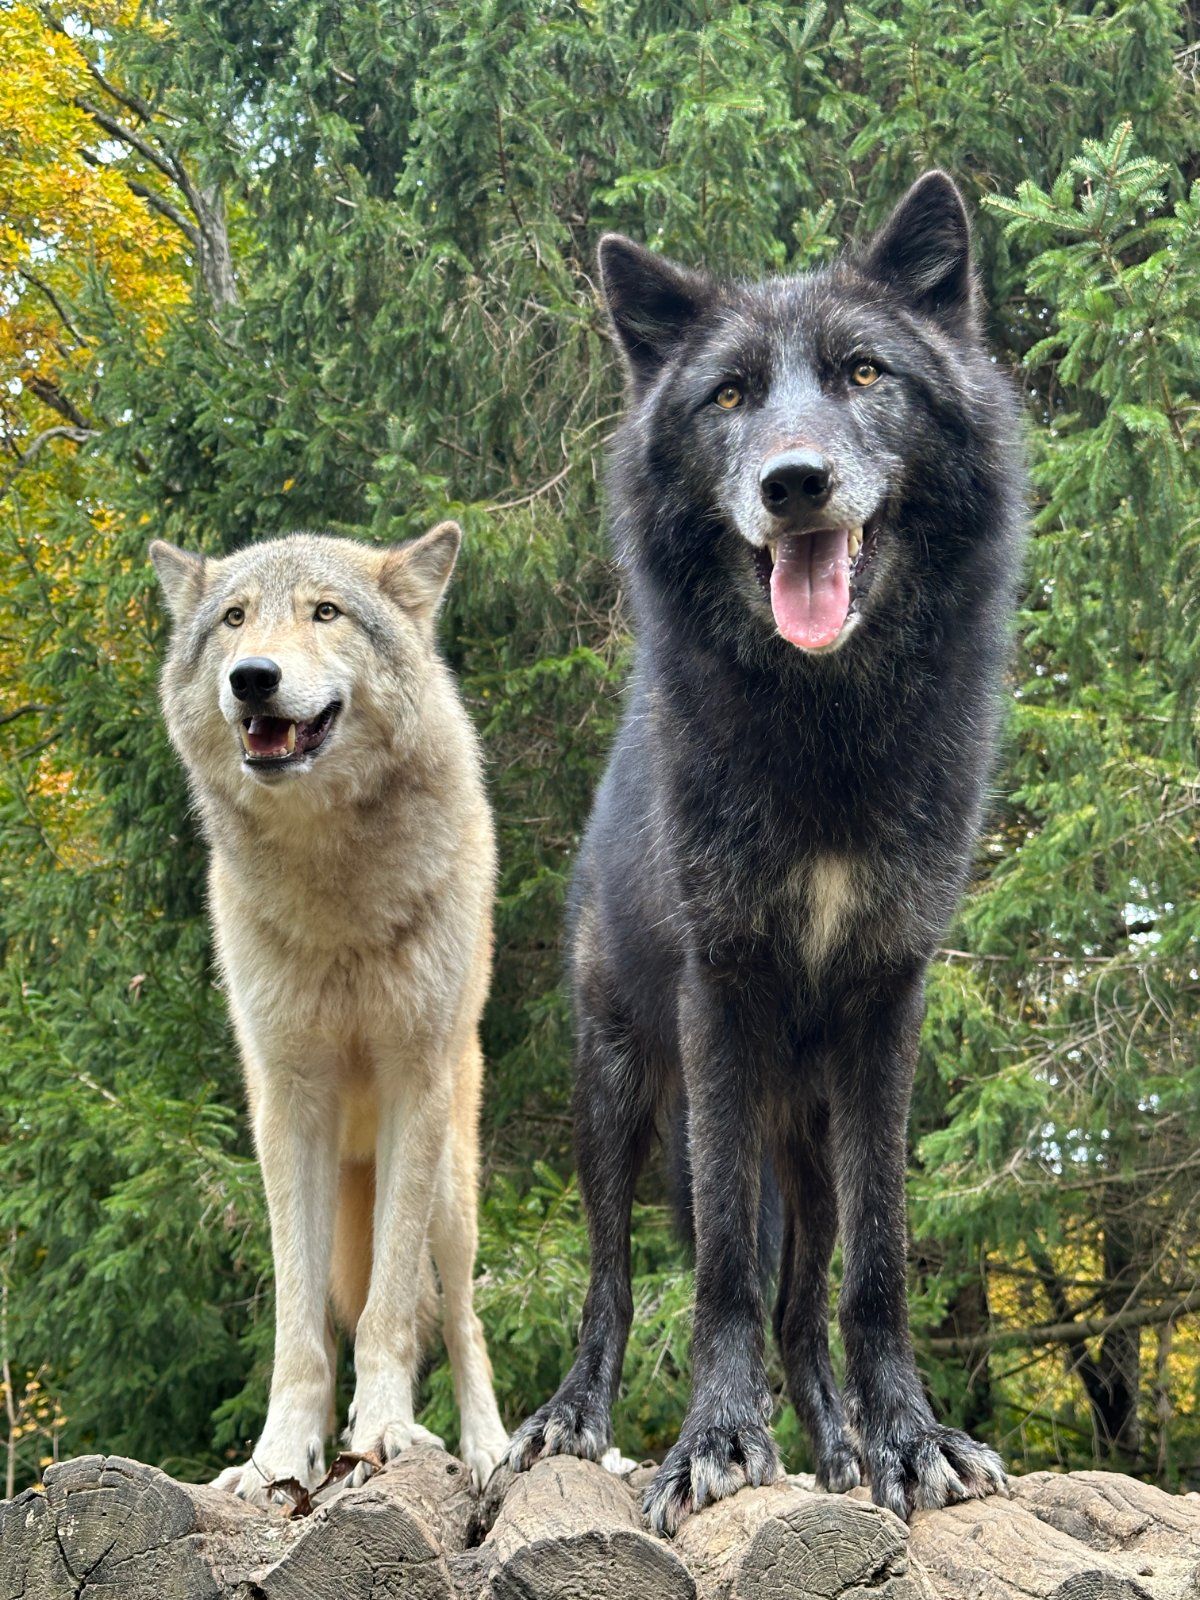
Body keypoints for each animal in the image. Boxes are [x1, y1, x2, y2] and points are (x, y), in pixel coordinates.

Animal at [150, 525, 509, 1502]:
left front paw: (382, 1431)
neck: (335, 891)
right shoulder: (286, 1107)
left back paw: (490, 1450)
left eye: (325, 611)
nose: (253, 678)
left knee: (461, 1320)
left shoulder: (413, 1087)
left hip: (450, 1188)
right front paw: (278, 1457)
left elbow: (388, 1314)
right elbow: (299, 1324)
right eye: (236, 618)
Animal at [507, 173, 1023, 1531]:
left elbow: (876, 1271)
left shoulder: (888, 1010)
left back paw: (839, 1448)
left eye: (863, 373)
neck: (824, 734)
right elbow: (722, 1273)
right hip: (624, 1091)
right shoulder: (721, 994)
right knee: (615, 1277)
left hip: (814, 1144)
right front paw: (718, 1441)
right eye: (730, 396)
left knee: (807, 1304)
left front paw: (908, 1440)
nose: (796, 483)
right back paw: (571, 1417)